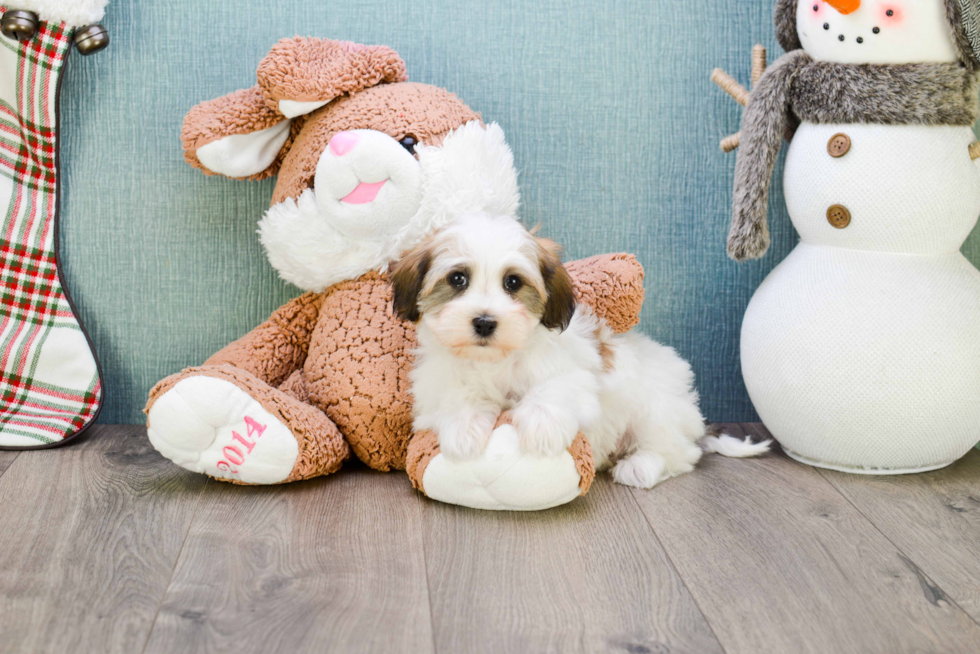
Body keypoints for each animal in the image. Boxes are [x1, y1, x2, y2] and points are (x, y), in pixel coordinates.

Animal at [388, 213, 764, 490]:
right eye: (457, 279)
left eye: (513, 282)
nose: (484, 322)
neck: (496, 360)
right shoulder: (438, 385)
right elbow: (457, 397)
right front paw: (463, 431)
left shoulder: (576, 373)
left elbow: (554, 388)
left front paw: (541, 427)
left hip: (657, 411)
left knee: (678, 453)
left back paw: (640, 466)